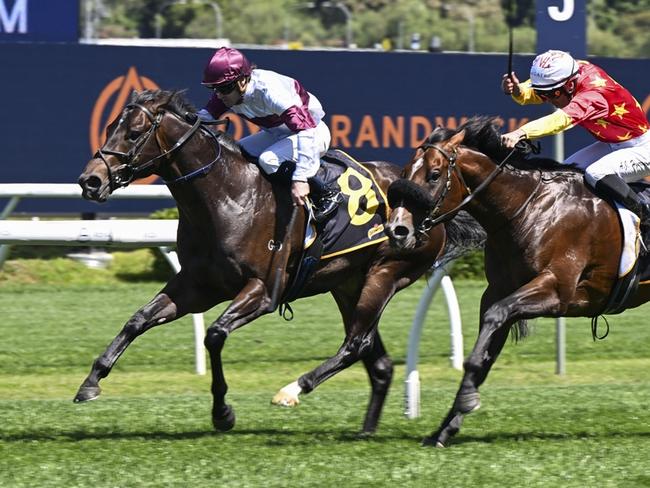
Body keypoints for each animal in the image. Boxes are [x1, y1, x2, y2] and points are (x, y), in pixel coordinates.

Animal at [76, 90, 480, 434]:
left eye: (134, 133)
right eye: (109, 128)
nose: (89, 181)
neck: (228, 197)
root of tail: (436, 202)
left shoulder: (263, 290)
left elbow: (214, 335)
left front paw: (223, 413)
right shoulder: (195, 285)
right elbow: (138, 320)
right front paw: (90, 382)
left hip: (386, 273)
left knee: (357, 344)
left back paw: (293, 390)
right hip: (348, 284)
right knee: (377, 362)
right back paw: (365, 431)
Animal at [384, 115, 648, 446]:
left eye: (433, 175)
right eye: (405, 172)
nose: (398, 230)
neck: (528, 208)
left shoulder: (556, 290)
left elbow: (492, 326)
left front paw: (467, 399)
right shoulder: (499, 291)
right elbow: (485, 351)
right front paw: (444, 429)